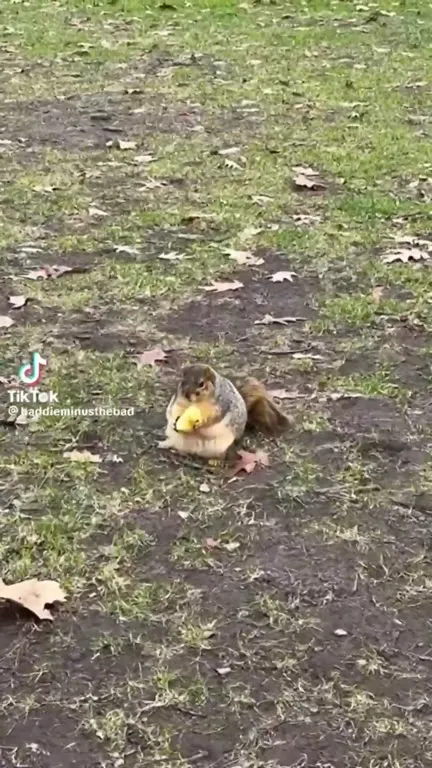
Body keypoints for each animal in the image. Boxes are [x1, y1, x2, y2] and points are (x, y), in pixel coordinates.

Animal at [158, 363, 290, 461]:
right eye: (182, 381)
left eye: (201, 384)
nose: (186, 394)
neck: (196, 403)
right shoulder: (179, 402)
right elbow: (176, 410)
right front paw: (176, 422)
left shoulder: (221, 405)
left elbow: (212, 418)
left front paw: (200, 424)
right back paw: (165, 444)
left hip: (221, 446)